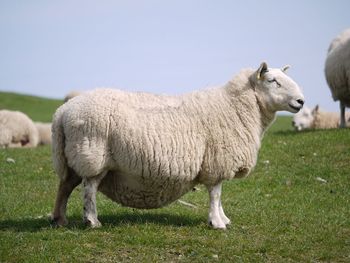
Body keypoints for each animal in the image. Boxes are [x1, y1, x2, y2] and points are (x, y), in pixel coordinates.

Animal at [50, 63, 304, 230]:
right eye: (272, 81)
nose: (301, 101)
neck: (235, 106)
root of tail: (62, 112)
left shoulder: (216, 164)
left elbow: (219, 194)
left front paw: (223, 218)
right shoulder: (217, 161)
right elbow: (216, 193)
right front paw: (217, 222)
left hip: (73, 156)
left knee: (64, 186)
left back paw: (59, 219)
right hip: (92, 155)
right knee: (89, 188)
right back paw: (92, 221)